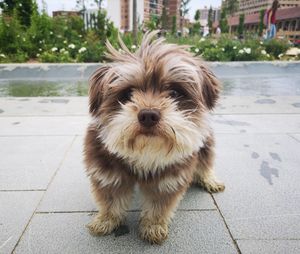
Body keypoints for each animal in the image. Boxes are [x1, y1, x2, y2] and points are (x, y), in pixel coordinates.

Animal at [83, 31, 224, 244]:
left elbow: (159, 206)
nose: (148, 115)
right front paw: (105, 221)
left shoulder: (168, 179)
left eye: (174, 92)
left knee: (206, 162)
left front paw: (153, 227)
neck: (146, 152)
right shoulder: (107, 172)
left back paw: (210, 180)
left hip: (205, 141)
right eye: (127, 94)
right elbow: (110, 201)